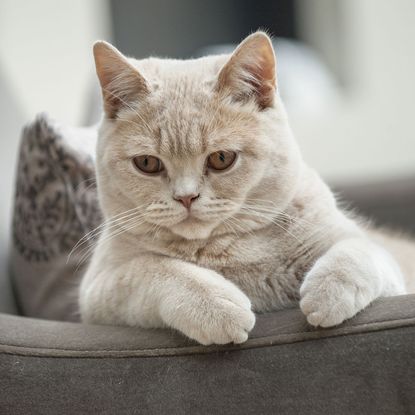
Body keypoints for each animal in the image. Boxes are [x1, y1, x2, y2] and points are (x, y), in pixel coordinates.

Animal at [79, 31, 412, 344]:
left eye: (221, 159)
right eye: (147, 163)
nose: (186, 197)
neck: (226, 248)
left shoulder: (375, 260)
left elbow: (359, 251)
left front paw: (327, 293)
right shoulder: (99, 290)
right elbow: (154, 268)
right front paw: (216, 307)